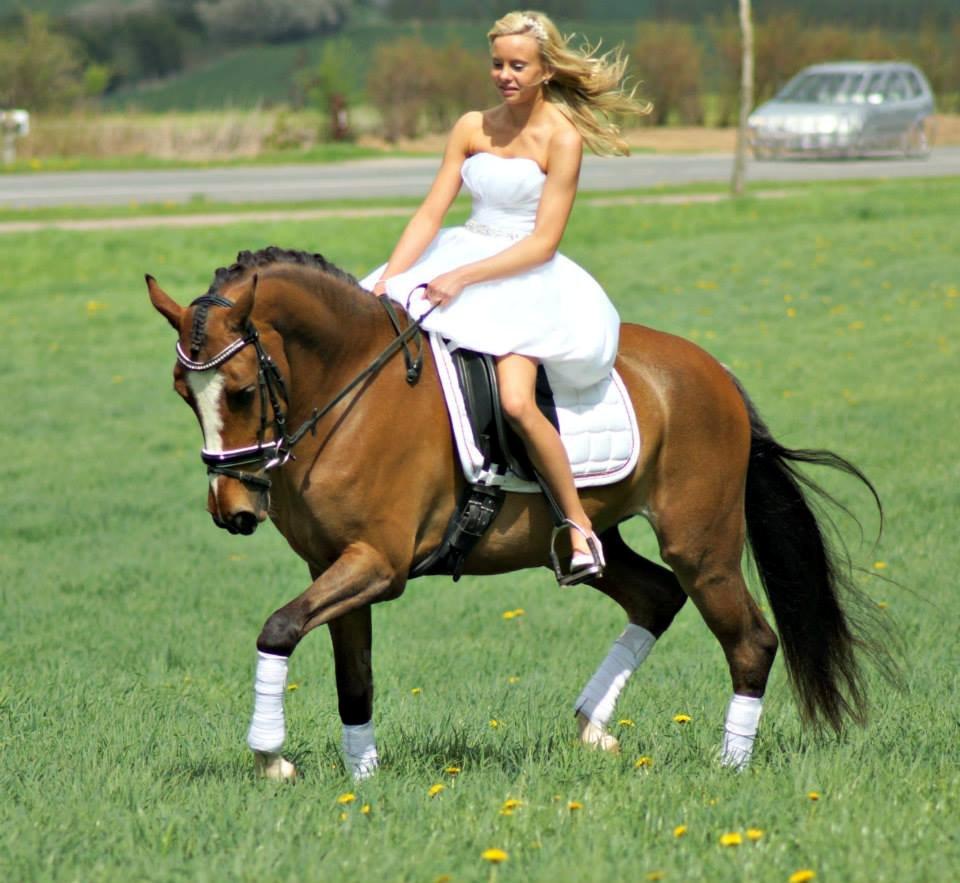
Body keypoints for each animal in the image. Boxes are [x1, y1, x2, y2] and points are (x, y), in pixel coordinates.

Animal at [147, 246, 889, 781]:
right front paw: (362, 777)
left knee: (749, 639)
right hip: (596, 537)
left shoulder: (378, 565)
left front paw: (270, 756)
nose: (233, 508)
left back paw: (729, 765)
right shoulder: (333, 566)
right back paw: (593, 725)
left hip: (700, 545)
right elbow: (350, 675)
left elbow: (277, 628)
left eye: (241, 391)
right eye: (183, 391)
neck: (349, 394)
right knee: (654, 595)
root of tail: (714, 373)